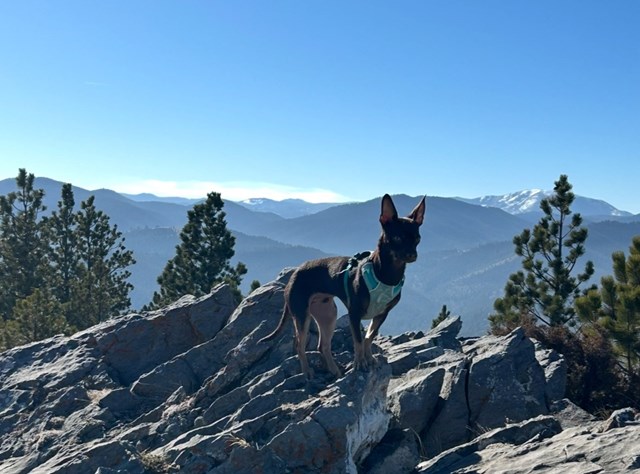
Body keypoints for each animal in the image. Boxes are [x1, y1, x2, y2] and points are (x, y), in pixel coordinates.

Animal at [259, 194, 426, 379]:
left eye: (417, 239)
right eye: (397, 238)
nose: (412, 255)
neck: (385, 275)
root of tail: (293, 275)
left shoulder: (382, 314)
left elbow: (369, 337)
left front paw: (369, 358)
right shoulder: (354, 314)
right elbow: (358, 341)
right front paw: (359, 363)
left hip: (328, 314)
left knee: (322, 346)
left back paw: (333, 370)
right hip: (302, 315)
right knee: (299, 345)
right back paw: (307, 371)